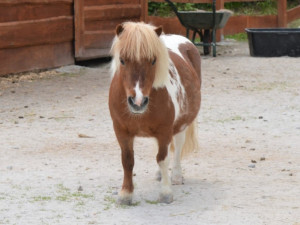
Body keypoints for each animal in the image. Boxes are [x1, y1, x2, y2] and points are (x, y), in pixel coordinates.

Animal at [108, 22, 202, 205]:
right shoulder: (121, 131)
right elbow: (127, 161)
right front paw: (126, 194)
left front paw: (165, 193)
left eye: (153, 61)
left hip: (181, 125)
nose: (138, 101)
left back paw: (177, 175)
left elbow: (163, 159)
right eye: (122, 60)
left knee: (177, 147)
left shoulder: (165, 130)